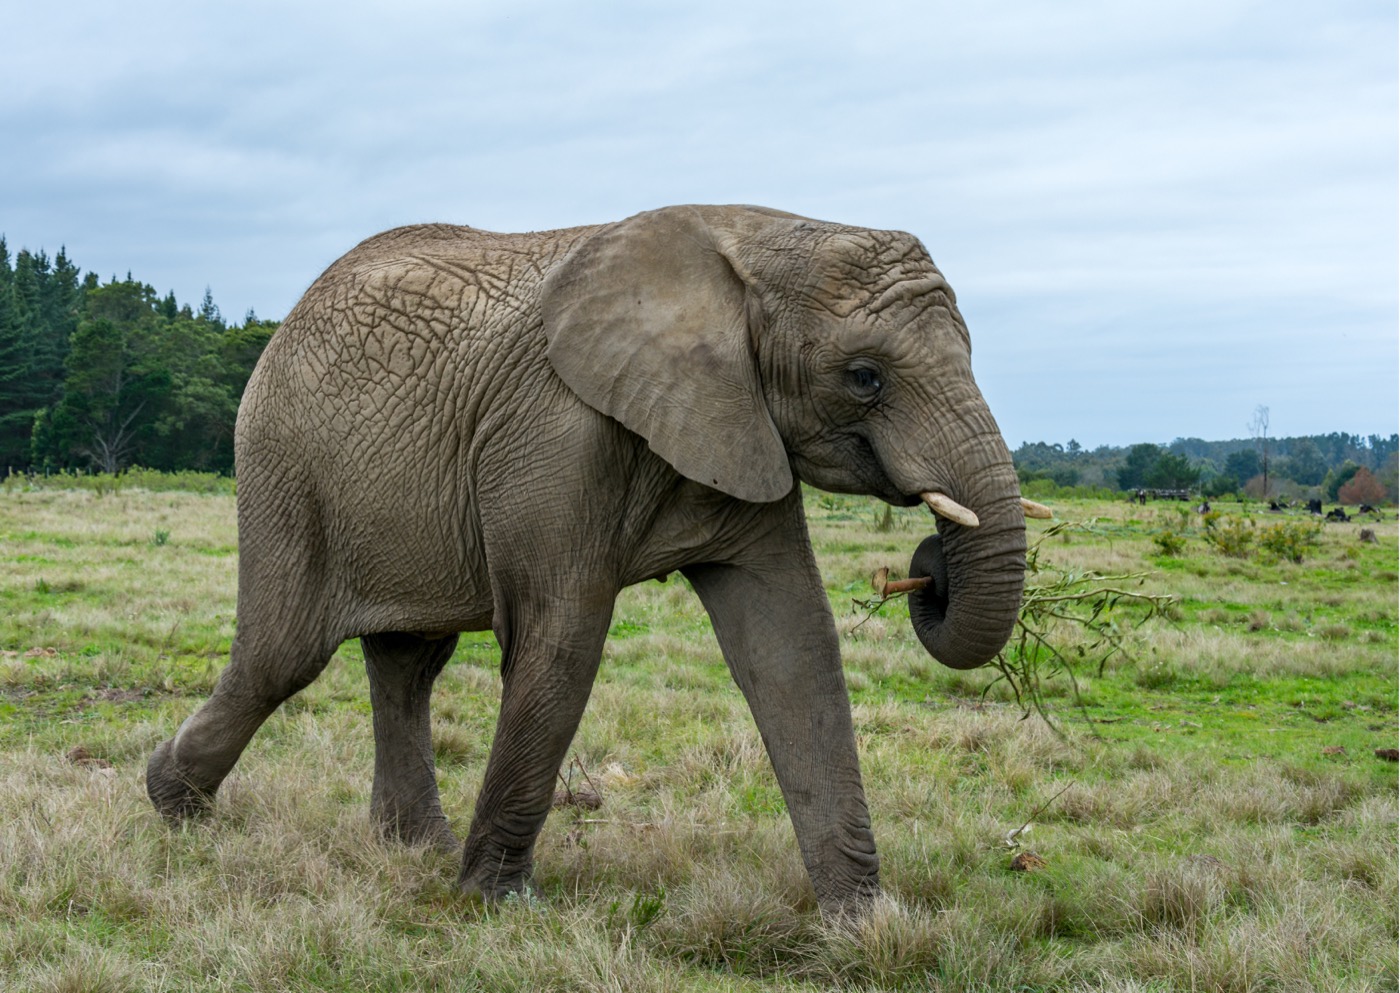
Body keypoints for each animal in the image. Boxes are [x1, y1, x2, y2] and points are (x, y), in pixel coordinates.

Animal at [146, 204, 1035, 918]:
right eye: (865, 377)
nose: (925, 566)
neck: (758, 237)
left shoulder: (742, 424)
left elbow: (792, 643)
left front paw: (867, 925)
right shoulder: (554, 431)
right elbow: (563, 636)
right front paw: (497, 904)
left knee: (408, 663)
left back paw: (413, 849)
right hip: (283, 461)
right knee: (283, 656)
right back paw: (171, 803)